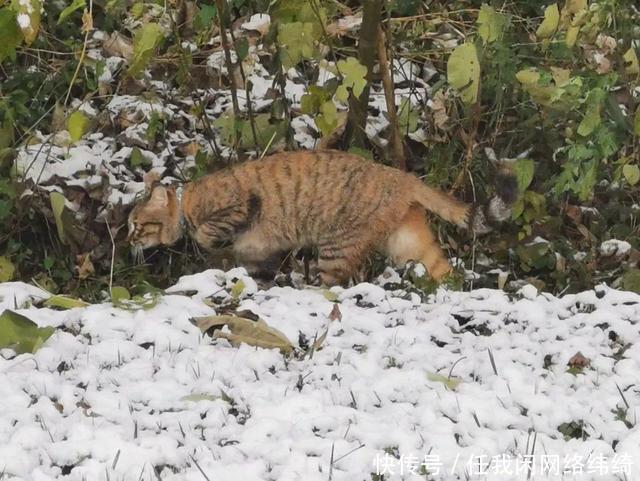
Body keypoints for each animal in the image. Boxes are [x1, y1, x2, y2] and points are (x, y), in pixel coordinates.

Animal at [127, 150, 516, 284]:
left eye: (135, 225)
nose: (128, 239)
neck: (188, 201)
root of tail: (401, 177)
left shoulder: (239, 207)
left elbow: (209, 233)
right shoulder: (259, 251)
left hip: (336, 246)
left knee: (331, 284)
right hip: (409, 242)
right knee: (442, 270)